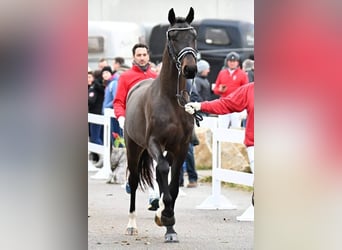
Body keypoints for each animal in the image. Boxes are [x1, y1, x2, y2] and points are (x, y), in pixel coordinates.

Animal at [124, 7, 196, 242]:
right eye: (173, 37)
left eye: (193, 35)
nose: (190, 69)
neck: (171, 100)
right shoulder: (155, 143)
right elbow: (163, 169)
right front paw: (166, 216)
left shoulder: (180, 147)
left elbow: (173, 185)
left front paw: (169, 225)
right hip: (133, 147)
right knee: (134, 181)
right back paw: (131, 224)